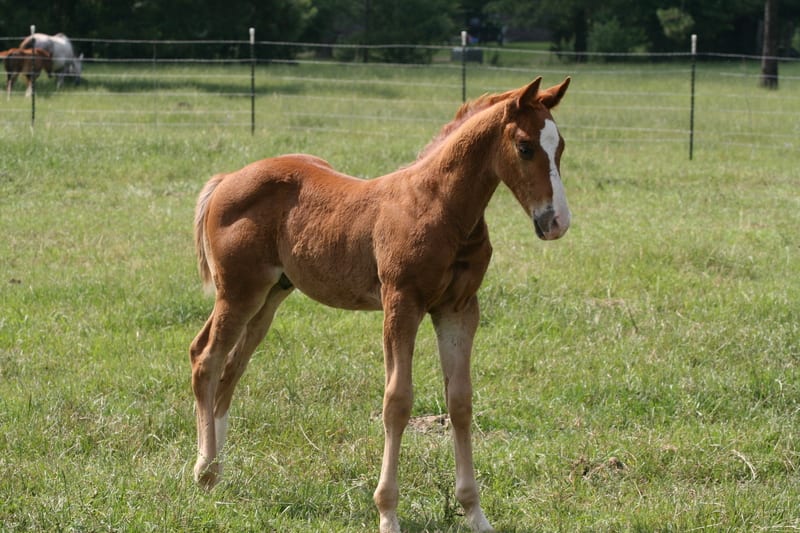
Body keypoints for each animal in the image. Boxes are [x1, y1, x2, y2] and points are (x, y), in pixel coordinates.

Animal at [191, 77, 572, 528]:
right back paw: (203, 470)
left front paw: (475, 514)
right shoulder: (401, 303)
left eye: (560, 145)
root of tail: (227, 178)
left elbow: (460, 401)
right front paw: (388, 513)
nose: (556, 222)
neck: (439, 206)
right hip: (239, 291)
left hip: (271, 294)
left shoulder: (459, 308)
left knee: (231, 368)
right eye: (526, 146)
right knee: (206, 358)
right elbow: (397, 401)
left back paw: (218, 470)